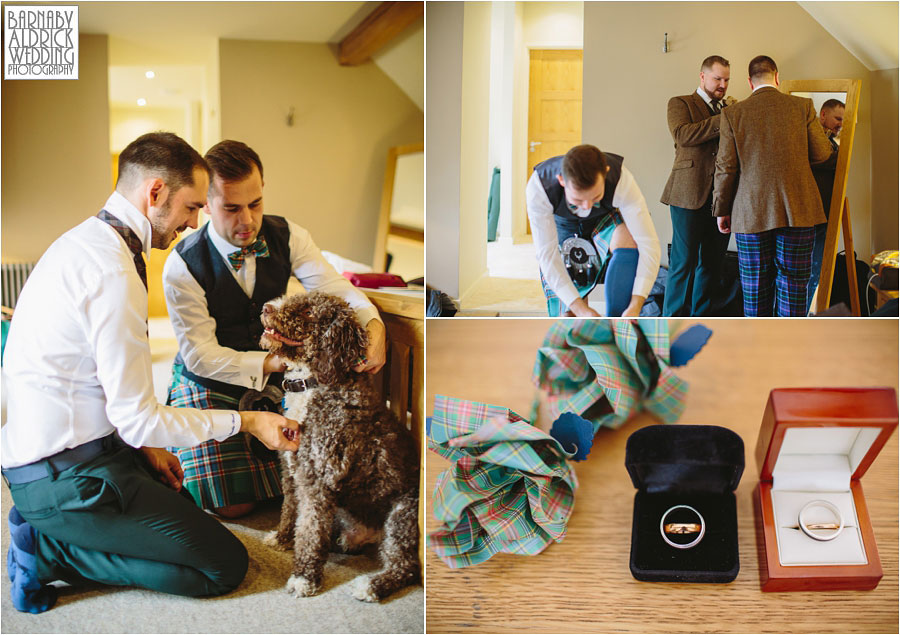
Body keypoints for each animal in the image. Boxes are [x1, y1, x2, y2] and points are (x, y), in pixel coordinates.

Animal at [256, 292, 418, 600]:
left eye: (309, 311)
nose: (266, 307)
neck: (313, 383)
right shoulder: (291, 473)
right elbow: (290, 512)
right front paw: (283, 538)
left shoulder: (317, 481)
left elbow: (309, 531)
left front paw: (303, 578)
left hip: (401, 517)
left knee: (405, 568)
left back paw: (372, 585)